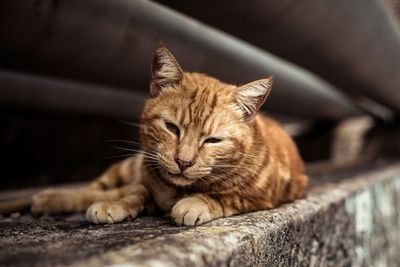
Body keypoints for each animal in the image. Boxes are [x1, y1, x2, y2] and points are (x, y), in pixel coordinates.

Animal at [31, 44, 308, 226]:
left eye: (213, 140)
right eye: (172, 128)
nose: (183, 162)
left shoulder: (261, 197)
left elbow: (226, 196)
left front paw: (195, 203)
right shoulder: (145, 183)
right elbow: (135, 193)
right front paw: (117, 205)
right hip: (129, 167)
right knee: (97, 189)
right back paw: (50, 199)